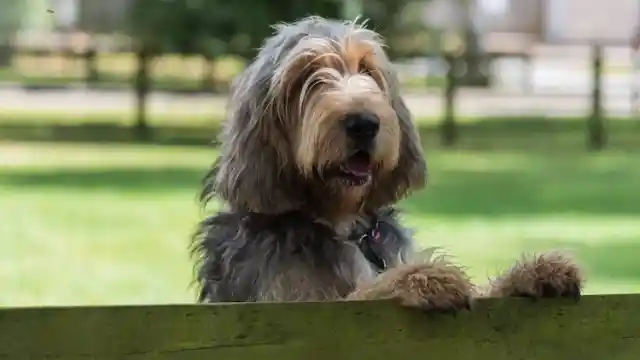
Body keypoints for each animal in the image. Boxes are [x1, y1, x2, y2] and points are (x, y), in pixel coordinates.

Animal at [189, 16, 580, 310]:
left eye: (367, 68)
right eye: (305, 75)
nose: (364, 123)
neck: (343, 223)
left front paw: (532, 273)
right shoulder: (293, 302)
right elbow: (363, 294)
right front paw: (420, 277)